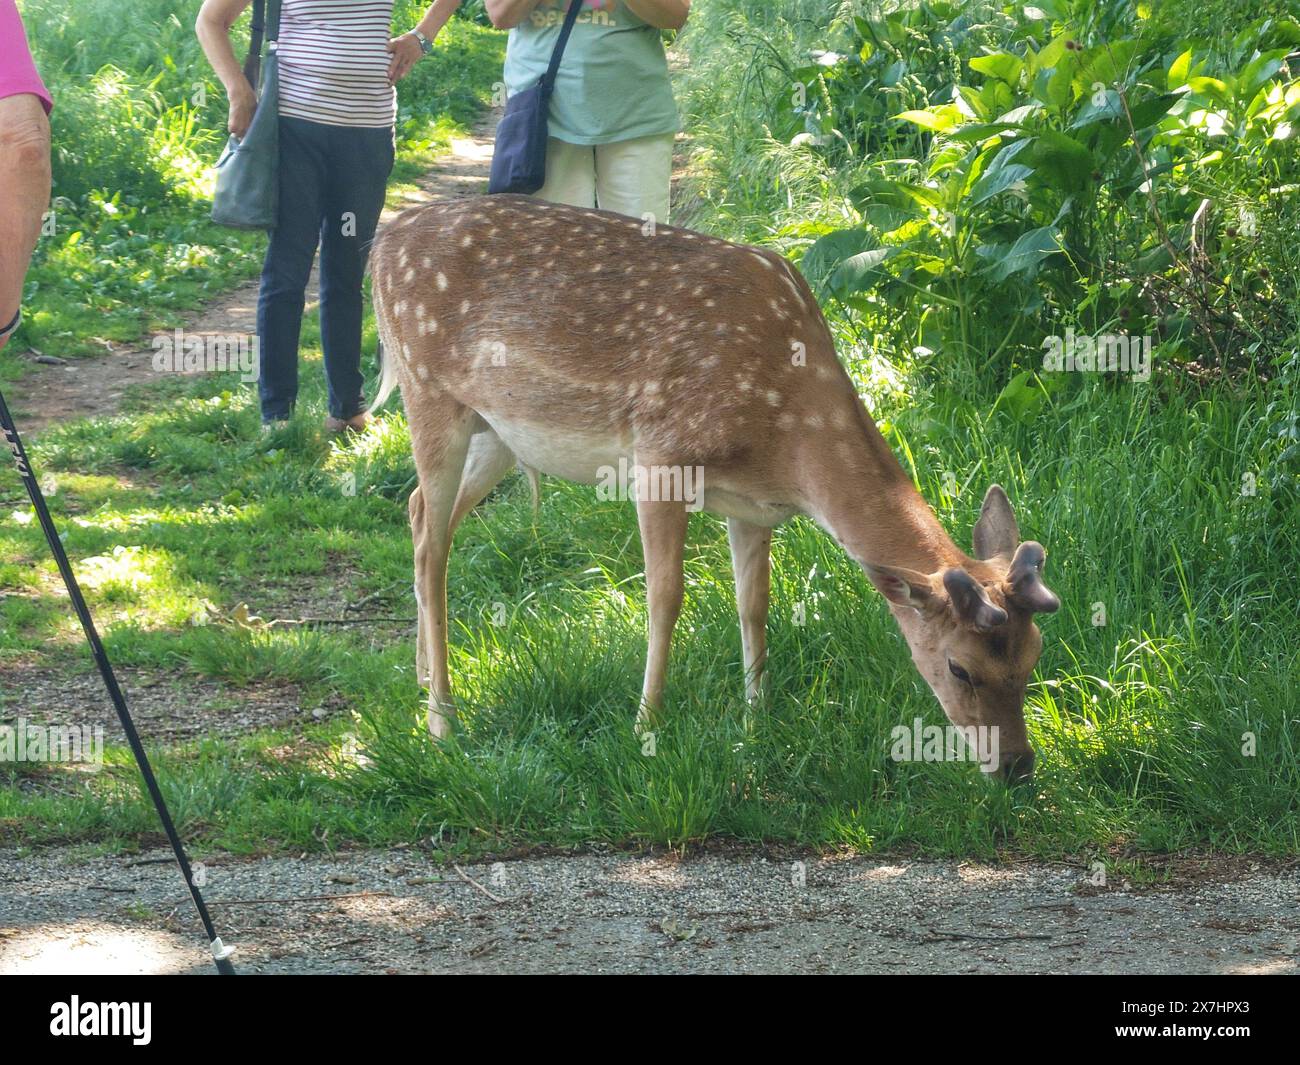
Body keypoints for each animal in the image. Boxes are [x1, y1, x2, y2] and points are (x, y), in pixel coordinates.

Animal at [369, 196, 1055, 785]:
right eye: (960, 667)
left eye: (1034, 657)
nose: (1018, 769)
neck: (786, 438)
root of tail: (381, 243)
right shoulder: (659, 456)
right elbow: (665, 598)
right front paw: (646, 728)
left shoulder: (753, 507)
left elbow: (754, 604)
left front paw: (757, 722)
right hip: (428, 390)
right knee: (430, 544)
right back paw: (442, 721)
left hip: (499, 432)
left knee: (419, 513)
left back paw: (422, 680)